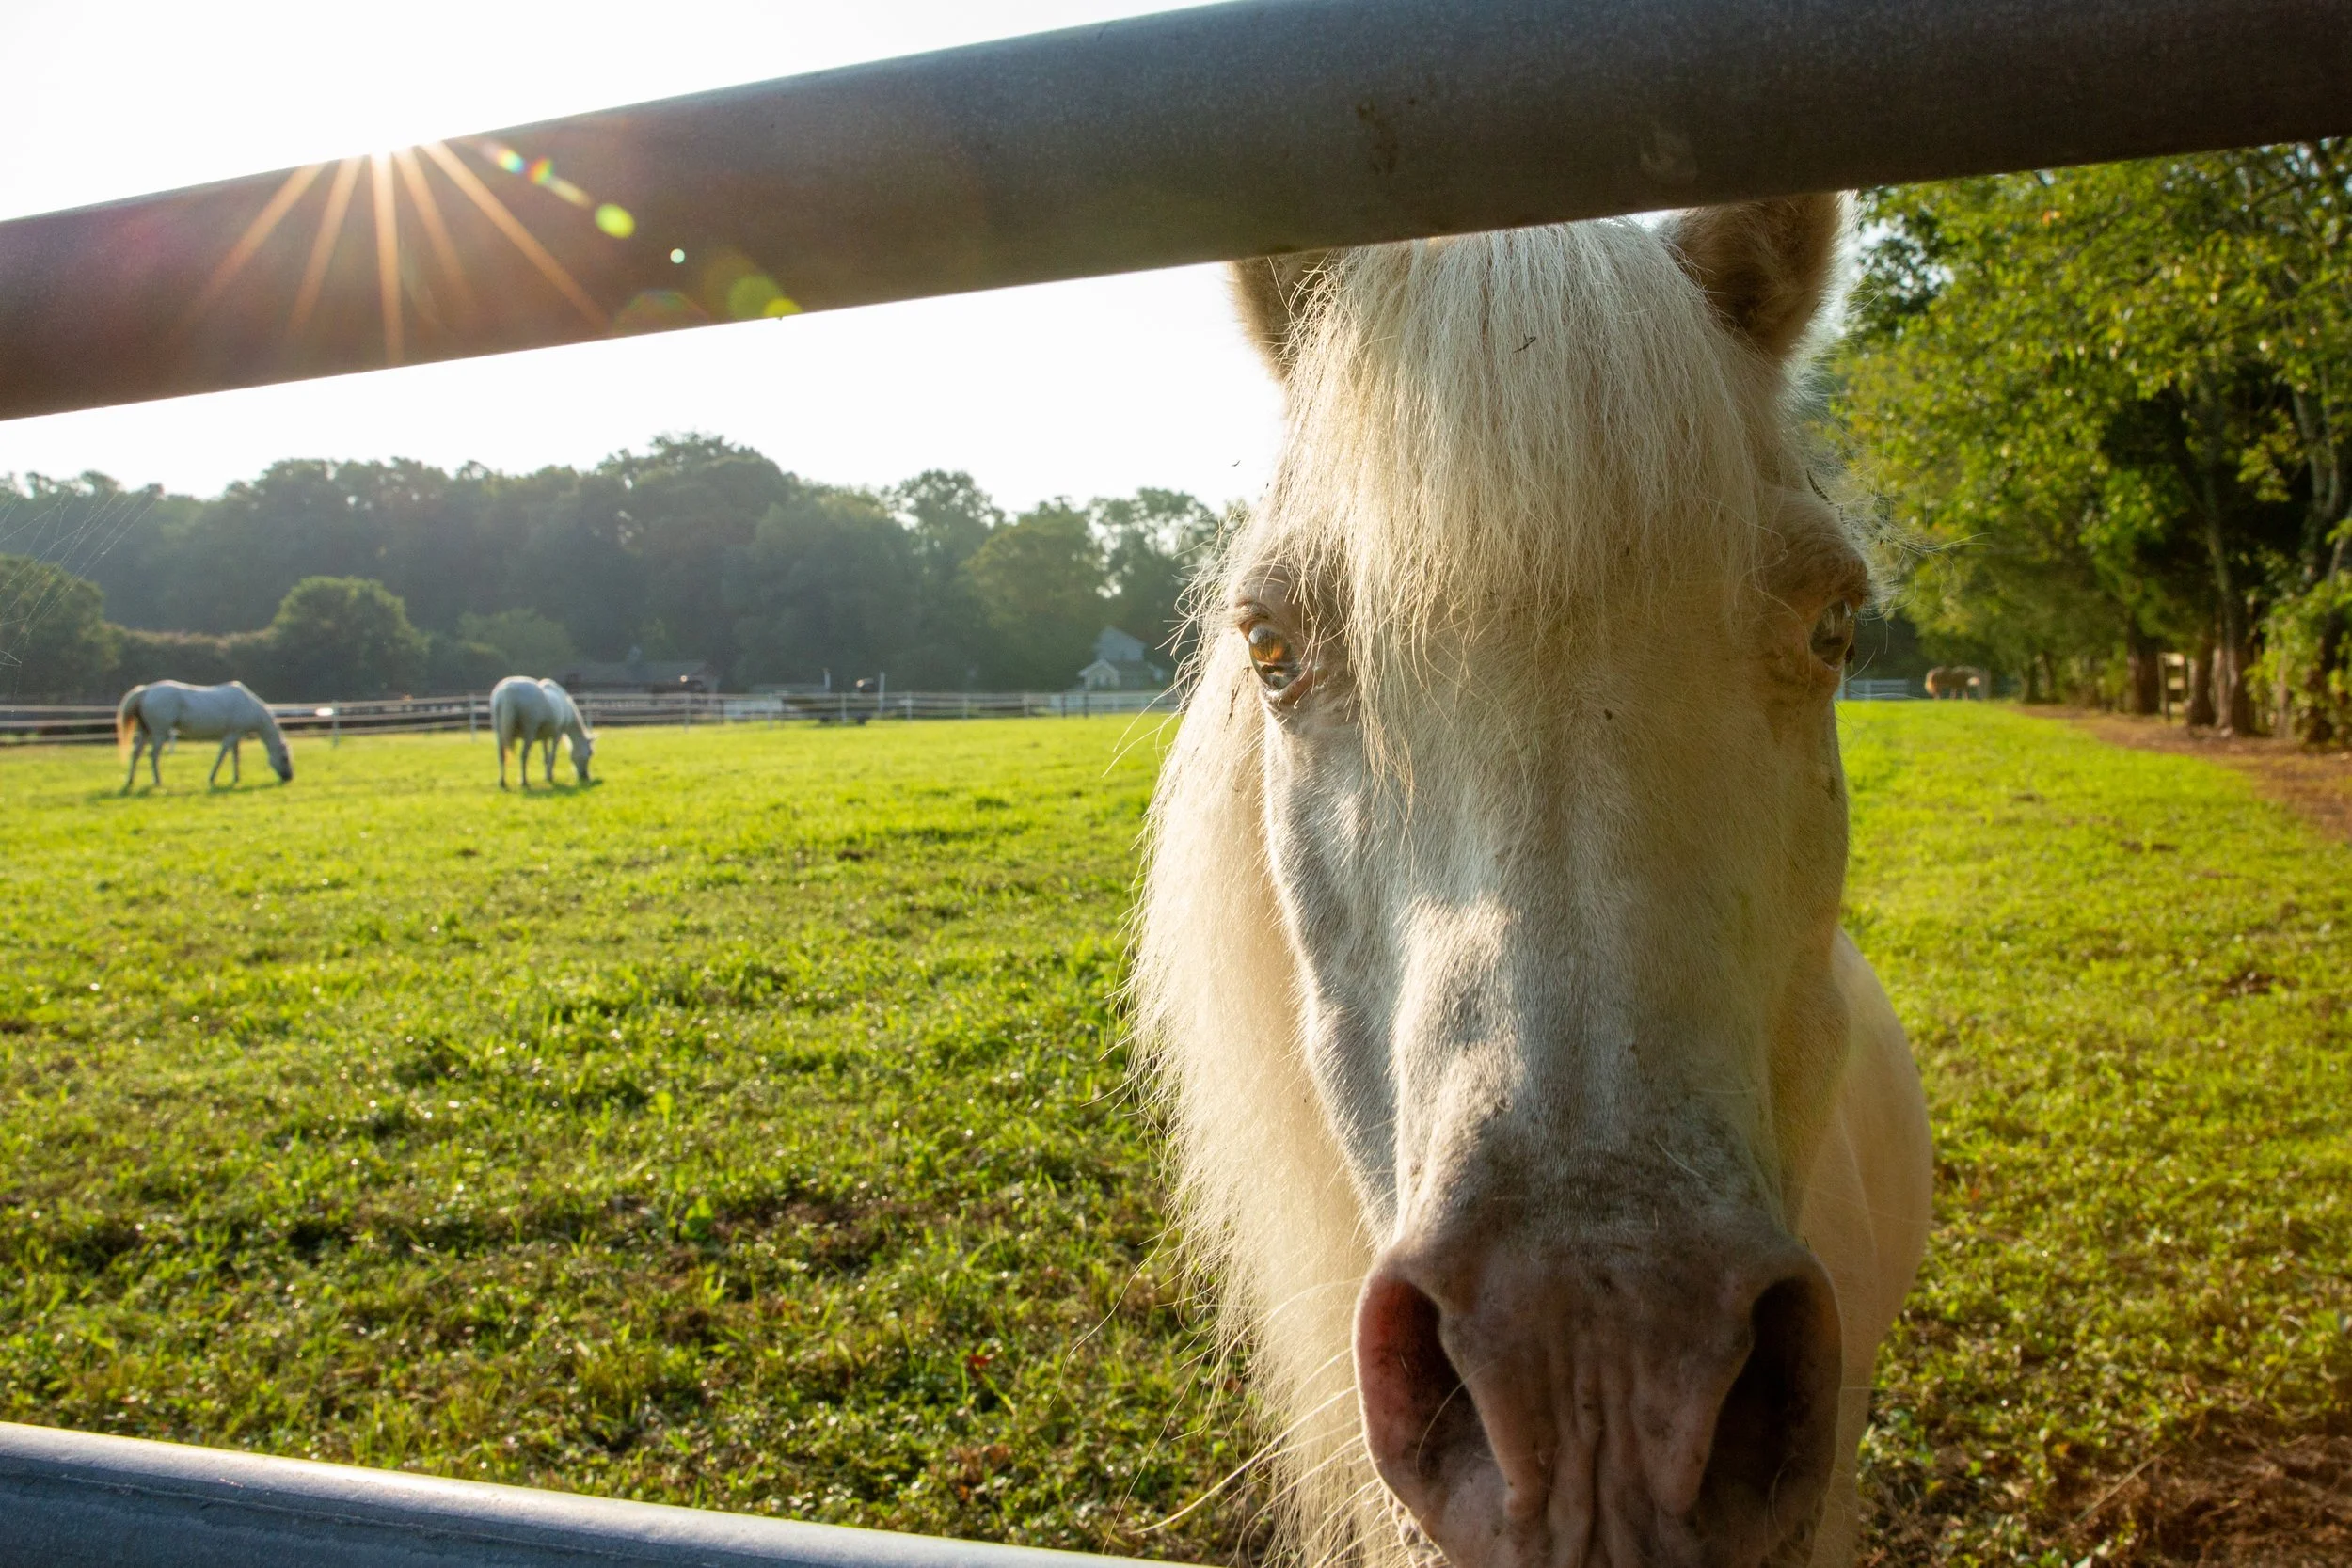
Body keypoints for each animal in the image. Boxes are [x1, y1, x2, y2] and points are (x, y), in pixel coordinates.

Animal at [116, 680, 292, 793]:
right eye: (285, 758)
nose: (289, 777)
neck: (248, 705)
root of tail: (145, 691)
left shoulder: (237, 735)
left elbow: (235, 756)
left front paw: (236, 778)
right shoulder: (232, 735)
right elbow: (223, 755)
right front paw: (212, 778)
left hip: (145, 731)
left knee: (136, 754)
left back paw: (130, 781)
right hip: (160, 733)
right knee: (153, 755)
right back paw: (158, 781)